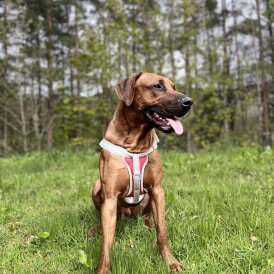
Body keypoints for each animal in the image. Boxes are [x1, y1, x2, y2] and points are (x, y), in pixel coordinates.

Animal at [88, 71, 193, 272]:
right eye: (157, 86)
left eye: (173, 87)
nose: (189, 102)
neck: (135, 143)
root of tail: (128, 217)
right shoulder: (110, 197)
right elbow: (106, 245)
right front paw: (102, 269)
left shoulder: (157, 189)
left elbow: (162, 232)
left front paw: (170, 261)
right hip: (97, 187)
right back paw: (96, 228)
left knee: (148, 217)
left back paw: (148, 224)